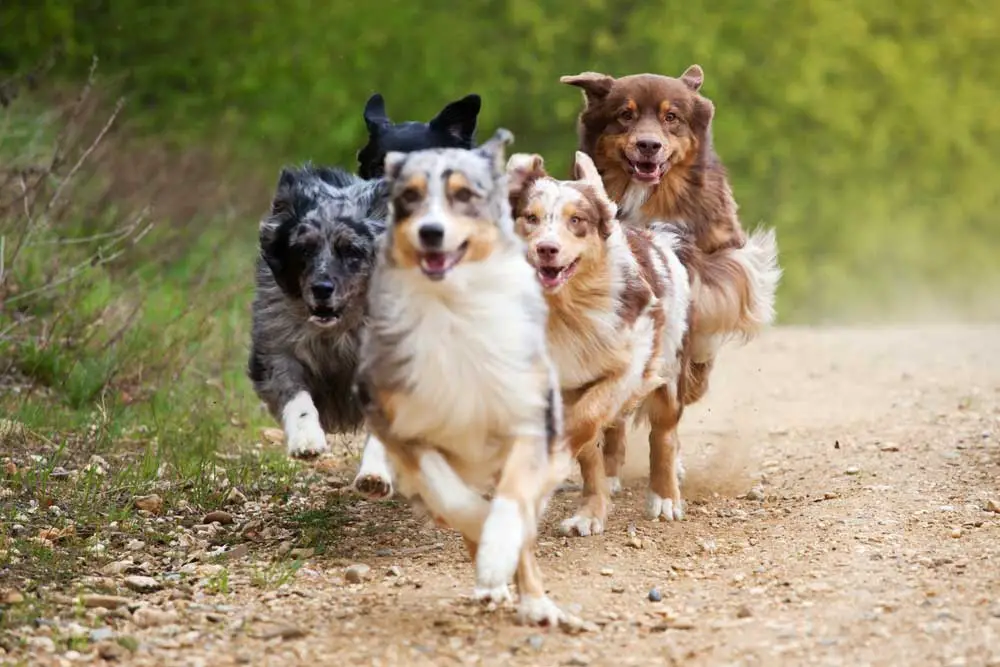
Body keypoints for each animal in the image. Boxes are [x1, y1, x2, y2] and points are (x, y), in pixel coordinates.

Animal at [354, 132, 580, 632]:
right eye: (410, 196)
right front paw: (483, 543)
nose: (431, 232)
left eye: (463, 195)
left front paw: (498, 553)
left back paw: (536, 603)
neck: (453, 306)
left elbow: (513, 502)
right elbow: (453, 500)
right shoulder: (401, 424)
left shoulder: (528, 415)